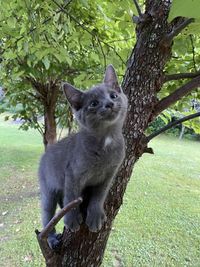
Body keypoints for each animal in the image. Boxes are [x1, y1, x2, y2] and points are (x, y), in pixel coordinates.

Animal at [38, 64, 127, 249]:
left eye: (113, 95)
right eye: (93, 103)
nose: (109, 104)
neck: (106, 142)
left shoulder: (110, 174)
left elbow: (99, 196)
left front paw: (95, 216)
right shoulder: (73, 174)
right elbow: (71, 196)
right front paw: (72, 219)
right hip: (48, 190)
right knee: (48, 216)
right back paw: (51, 238)